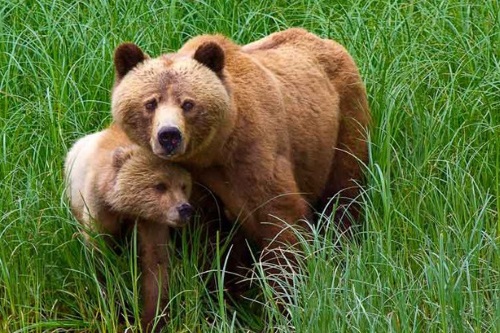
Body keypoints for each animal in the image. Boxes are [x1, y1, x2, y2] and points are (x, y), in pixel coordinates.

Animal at [111, 27, 370, 294]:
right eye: (150, 103)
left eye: (188, 103)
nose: (169, 135)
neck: (212, 154)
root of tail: (323, 40)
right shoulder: (194, 184)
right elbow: (211, 241)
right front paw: (228, 289)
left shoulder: (252, 154)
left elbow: (281, 220)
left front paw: (283, 290)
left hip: (343, 124)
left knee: (344, 191)